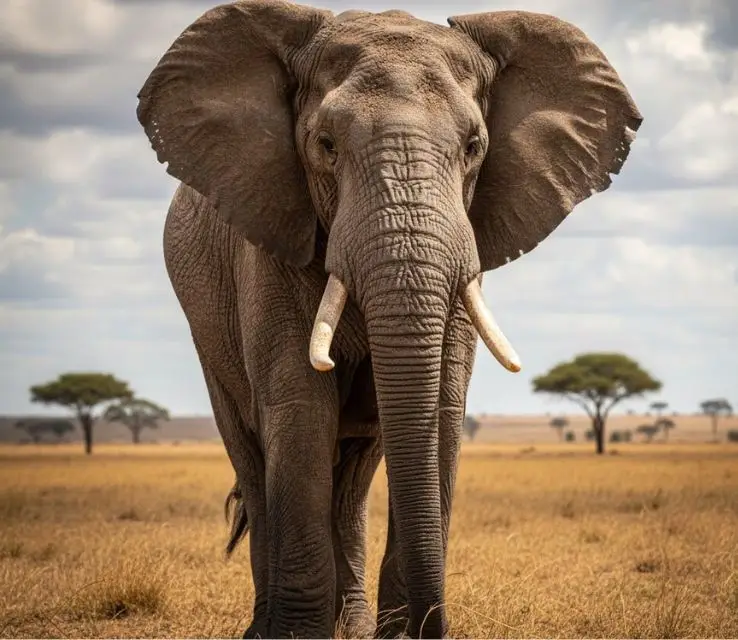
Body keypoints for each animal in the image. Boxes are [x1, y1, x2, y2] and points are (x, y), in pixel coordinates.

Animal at [136, 1, 642, 637]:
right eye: (325, 145)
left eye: (474, 147)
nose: (429, 624)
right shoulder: (271, 242)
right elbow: (299, 410)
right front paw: (298, 635)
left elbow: (441, 410)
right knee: (254, 458)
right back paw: (268, 627)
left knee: (352, 478)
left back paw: (349, 626)